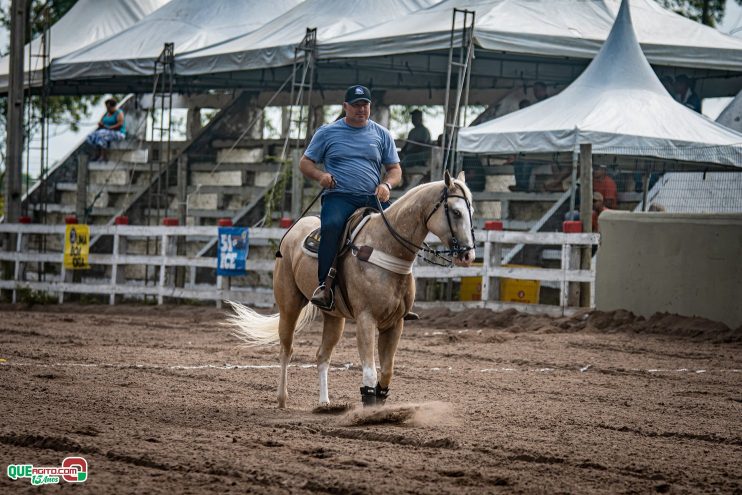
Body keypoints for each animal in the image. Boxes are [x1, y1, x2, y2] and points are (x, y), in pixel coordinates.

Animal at [227, 172, 476, 408]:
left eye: (471, 210)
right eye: (455, 212)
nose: (468, 255)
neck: (386, 247)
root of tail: (295, 228)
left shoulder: (395, 323)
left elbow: (387, 371)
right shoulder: (366, 319)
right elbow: (370, 372)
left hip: (334, 317)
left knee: (322, 355)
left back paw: (324, 402)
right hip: (289, 305)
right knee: (286, 350)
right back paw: (281, 398)